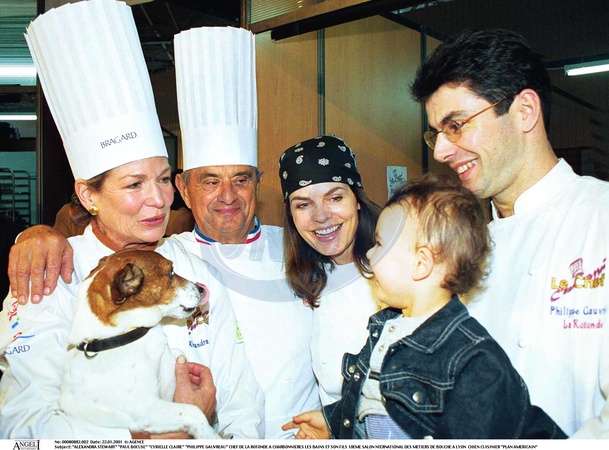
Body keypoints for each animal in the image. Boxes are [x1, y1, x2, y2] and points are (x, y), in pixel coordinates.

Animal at [59, 249, 219, 439]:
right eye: (171, 272)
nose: (201, 289)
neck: (121, 336)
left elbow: (179, 354)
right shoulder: (145, 408)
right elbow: (194, 412)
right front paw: (211, 436)